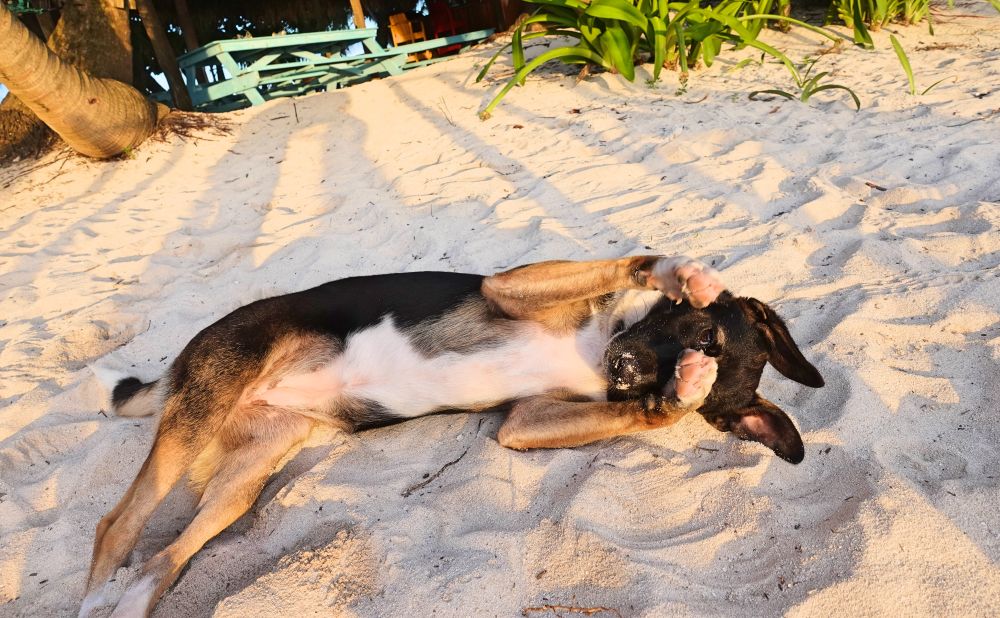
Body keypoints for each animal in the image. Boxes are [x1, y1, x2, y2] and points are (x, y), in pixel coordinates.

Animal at [84, 253, 820, 612]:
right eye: (702, 331)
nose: (627, 370)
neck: (609, 337)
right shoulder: (507, 288)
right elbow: (643, 255)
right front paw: (685, 274)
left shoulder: (523, 423)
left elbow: (646, 412)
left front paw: (682, 393)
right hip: (199, 415)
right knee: (117, 526)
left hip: (245, 479)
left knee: (159, 560)